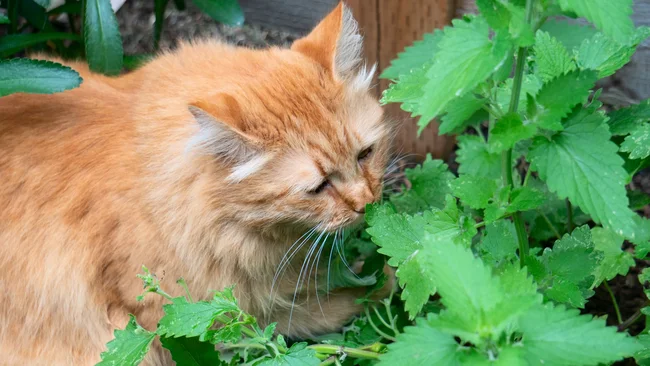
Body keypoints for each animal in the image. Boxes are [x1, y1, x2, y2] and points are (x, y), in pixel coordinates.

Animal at [0, 2, 390, 366]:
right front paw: (382, 284)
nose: (366, 203)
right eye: (319, 187)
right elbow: (313, 313)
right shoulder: (180, 318)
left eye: (365, 154)